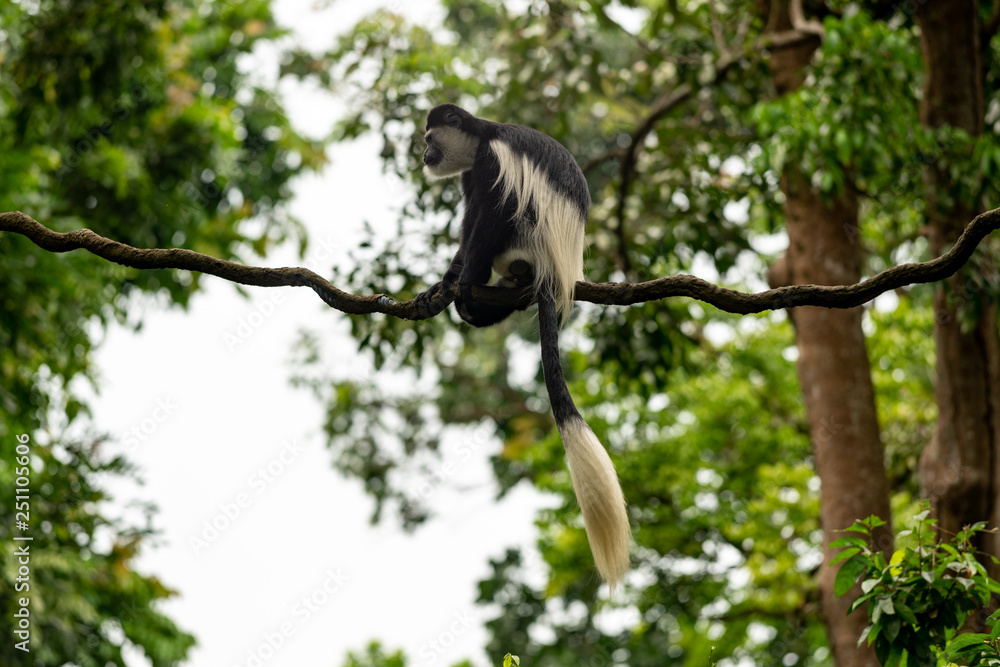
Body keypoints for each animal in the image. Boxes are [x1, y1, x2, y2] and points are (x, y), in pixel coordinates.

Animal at [413, 104, 631, 588]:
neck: (482, 137)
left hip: (529, 235)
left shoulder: (493, 162)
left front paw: (458, 282)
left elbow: (487, 215)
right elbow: (469, 220)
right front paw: (444, 284)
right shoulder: (469, 177)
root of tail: (556, 273)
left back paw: (478, 286)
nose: (424, 155)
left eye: (429, 138)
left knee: (503, 213)